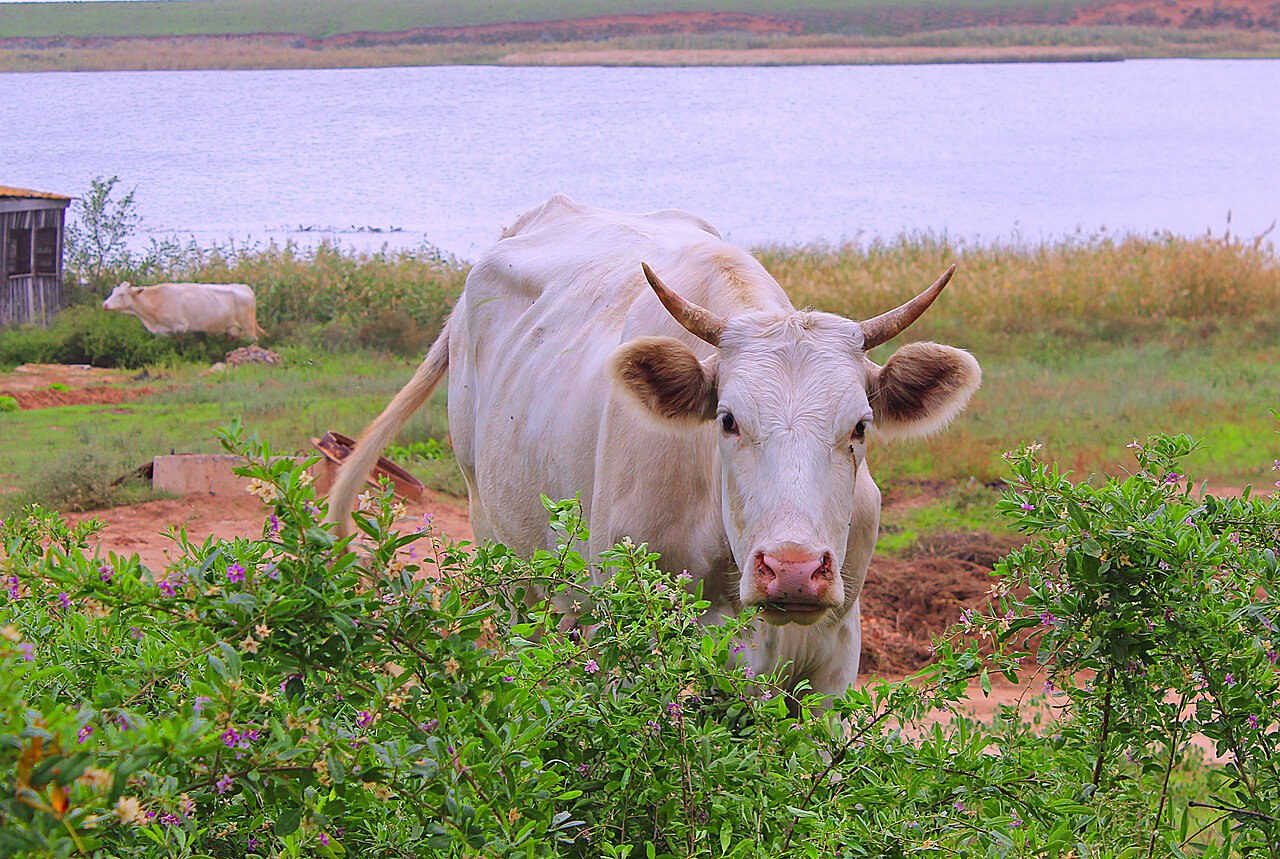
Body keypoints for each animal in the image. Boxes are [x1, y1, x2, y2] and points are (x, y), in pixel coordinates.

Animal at [103, 279, 266, 340]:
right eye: (113, 291)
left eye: (121, 294)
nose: (105, 304)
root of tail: (244, 287)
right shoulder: (162, 331)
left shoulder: (180, 327)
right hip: (234, 329)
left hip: (248, 326)